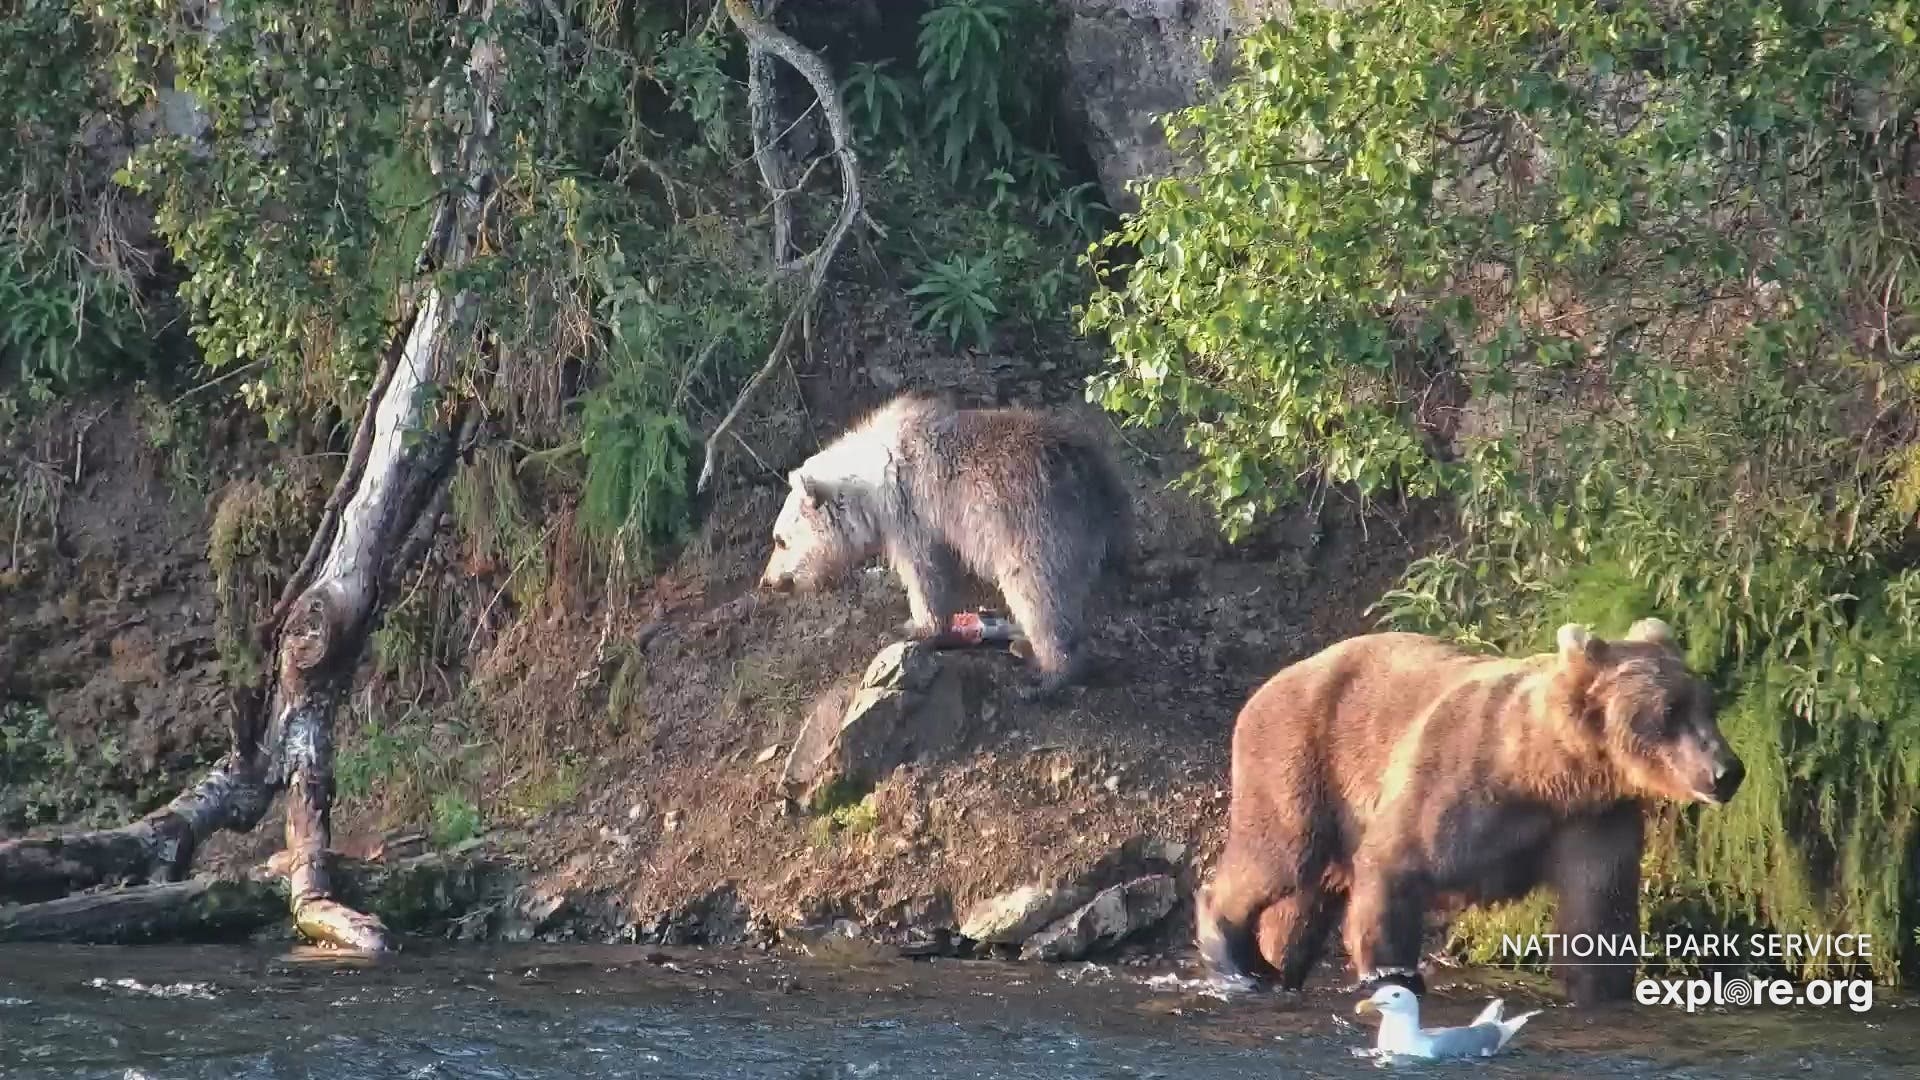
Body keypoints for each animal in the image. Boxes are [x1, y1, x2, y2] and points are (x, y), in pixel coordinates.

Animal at [757, 392, 1131, 697]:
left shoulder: (913, 513)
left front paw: (915, 626)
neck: (874, 482)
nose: (768, 580)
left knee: (1039, 598)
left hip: (1035, 529)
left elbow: (925, 574)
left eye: (780, 540)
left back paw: (1046, 674)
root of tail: (1099, 479)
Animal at [1195, 618, 1745, 1006]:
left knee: (1301, 906)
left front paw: (1602, 989)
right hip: (1300, 756)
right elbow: (1394, 868)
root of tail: (1273, 680)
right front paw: (1392, 976)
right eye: (1670, 712)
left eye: (1707, 704)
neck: (1545, 772)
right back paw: (1236, 953)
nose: (1727, 770)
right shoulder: (1456, 783)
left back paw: (1276, 965)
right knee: (1280, 855)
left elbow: (1597, 915)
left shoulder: (1593, 818)